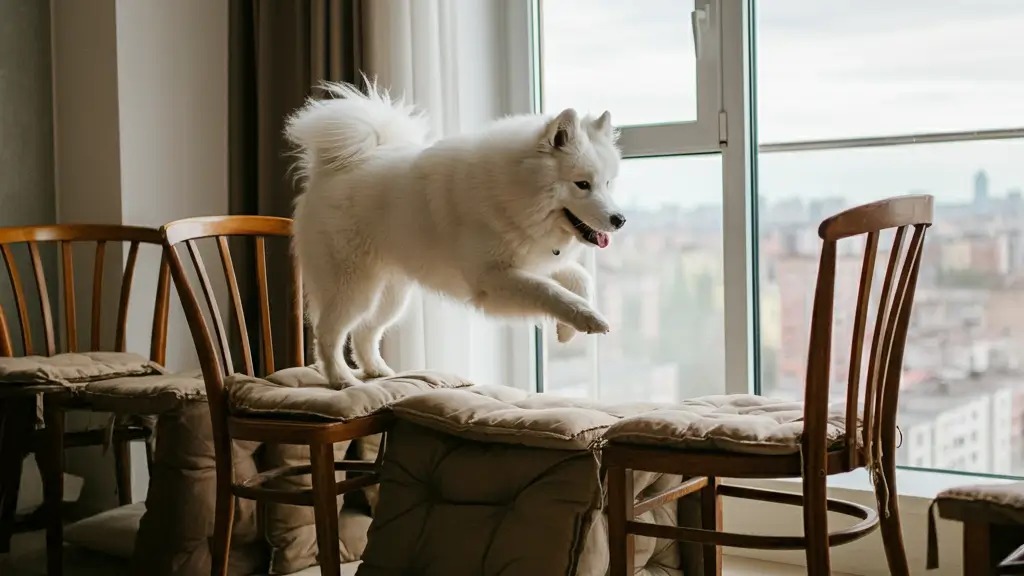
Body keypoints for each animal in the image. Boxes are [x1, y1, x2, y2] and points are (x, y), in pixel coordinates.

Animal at [286, 79, 622, 385]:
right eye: (582, 184)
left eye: (607, 183)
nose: (620, 220)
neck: (512, 194)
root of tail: (331, 170)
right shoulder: (491, 279)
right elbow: (548, 290)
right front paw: (588, 319)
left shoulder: (532, 259)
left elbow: (580, 278)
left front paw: (567, 330)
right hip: (353, 288)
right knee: (328, 334)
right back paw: (341, 379)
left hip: (391, 295)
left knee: (364, 331)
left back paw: (376, 370)